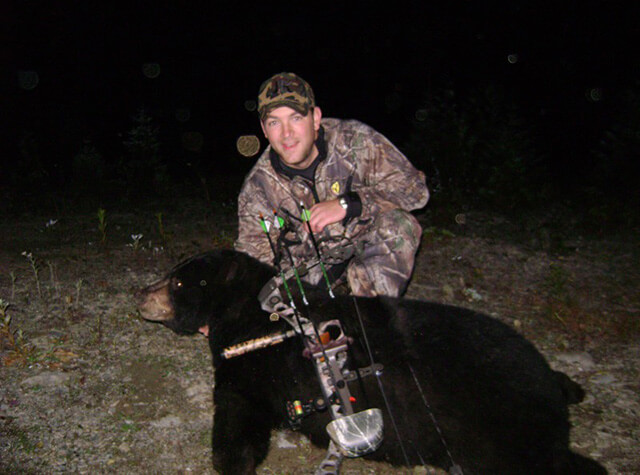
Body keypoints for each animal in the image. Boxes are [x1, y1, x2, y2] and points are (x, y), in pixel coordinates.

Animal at [138, 251, 608, 474]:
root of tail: (544, 375)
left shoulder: (254, 372)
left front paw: (233, 462)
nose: (141, 292)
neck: (260, 315)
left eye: (178, 282)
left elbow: (236, 422)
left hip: (495, 420)